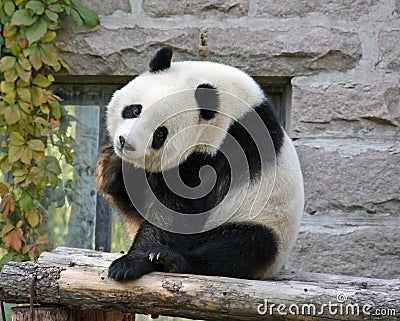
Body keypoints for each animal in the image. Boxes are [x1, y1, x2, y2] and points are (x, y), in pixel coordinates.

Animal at [96, 45, 304, 280]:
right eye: (134, 110)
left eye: (160, 133)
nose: (126, 143)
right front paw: (112, 166)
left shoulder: (221, 153)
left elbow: (177, 210)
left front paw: (129, 264)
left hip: (265, 222)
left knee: (244, 246)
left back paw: (172, 259)